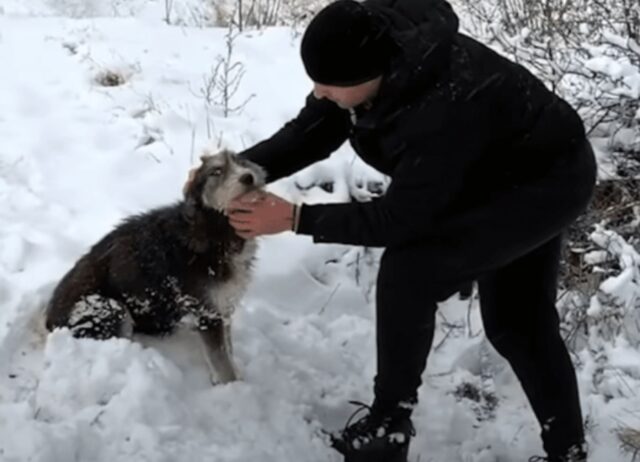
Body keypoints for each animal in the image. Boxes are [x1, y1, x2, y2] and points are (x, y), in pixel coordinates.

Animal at [44, 150, 264, 384]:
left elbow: (227, 349)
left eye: (241, 162)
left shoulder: (223, 305)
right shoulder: (206, 311)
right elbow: (221, 360)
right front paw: (234, 387)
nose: (248, 177)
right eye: (216, 171)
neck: (214, 225)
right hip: (108, 308)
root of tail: (50, 320)